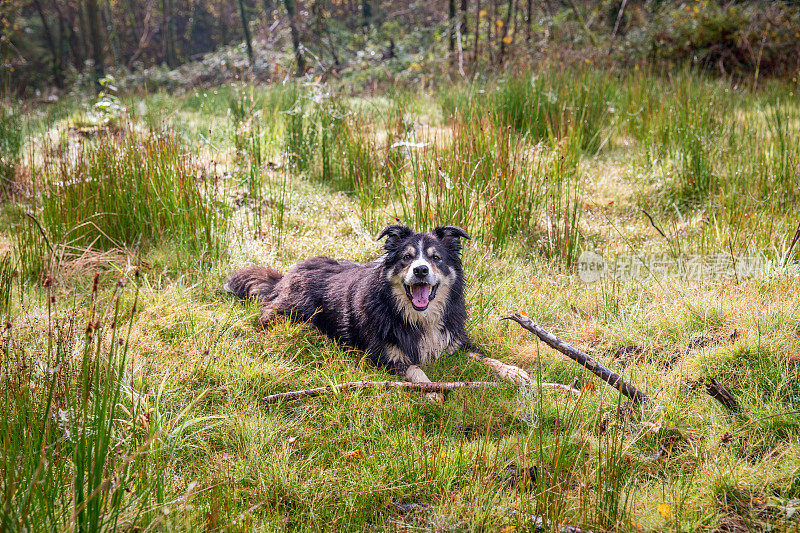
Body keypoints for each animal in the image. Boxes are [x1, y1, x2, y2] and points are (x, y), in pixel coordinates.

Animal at [222, 223, 528, 400]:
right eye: (406, 257)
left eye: (435, 258)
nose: (420, 270)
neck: (417, 317)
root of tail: (285, 276)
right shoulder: (385, 355)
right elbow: (415, 368)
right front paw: (431, 389)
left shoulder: (453, 340)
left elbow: (485, 357)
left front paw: (513, 372)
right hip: (291, 314)